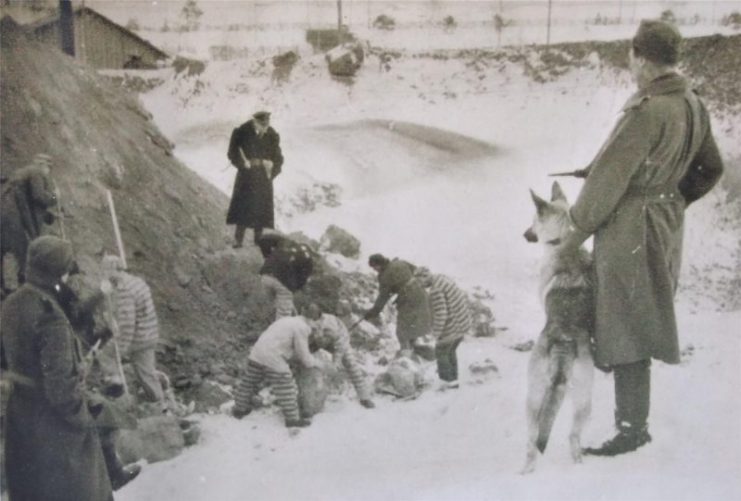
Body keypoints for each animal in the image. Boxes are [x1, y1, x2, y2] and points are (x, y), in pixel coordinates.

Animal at [520, 181, 596, 472]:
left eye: (533, 221)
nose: (524, 234)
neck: (564, 241)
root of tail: (564, 341)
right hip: (584, 400)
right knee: (574, 436)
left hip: (533, 397)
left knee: (532, 439)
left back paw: (526, 469)